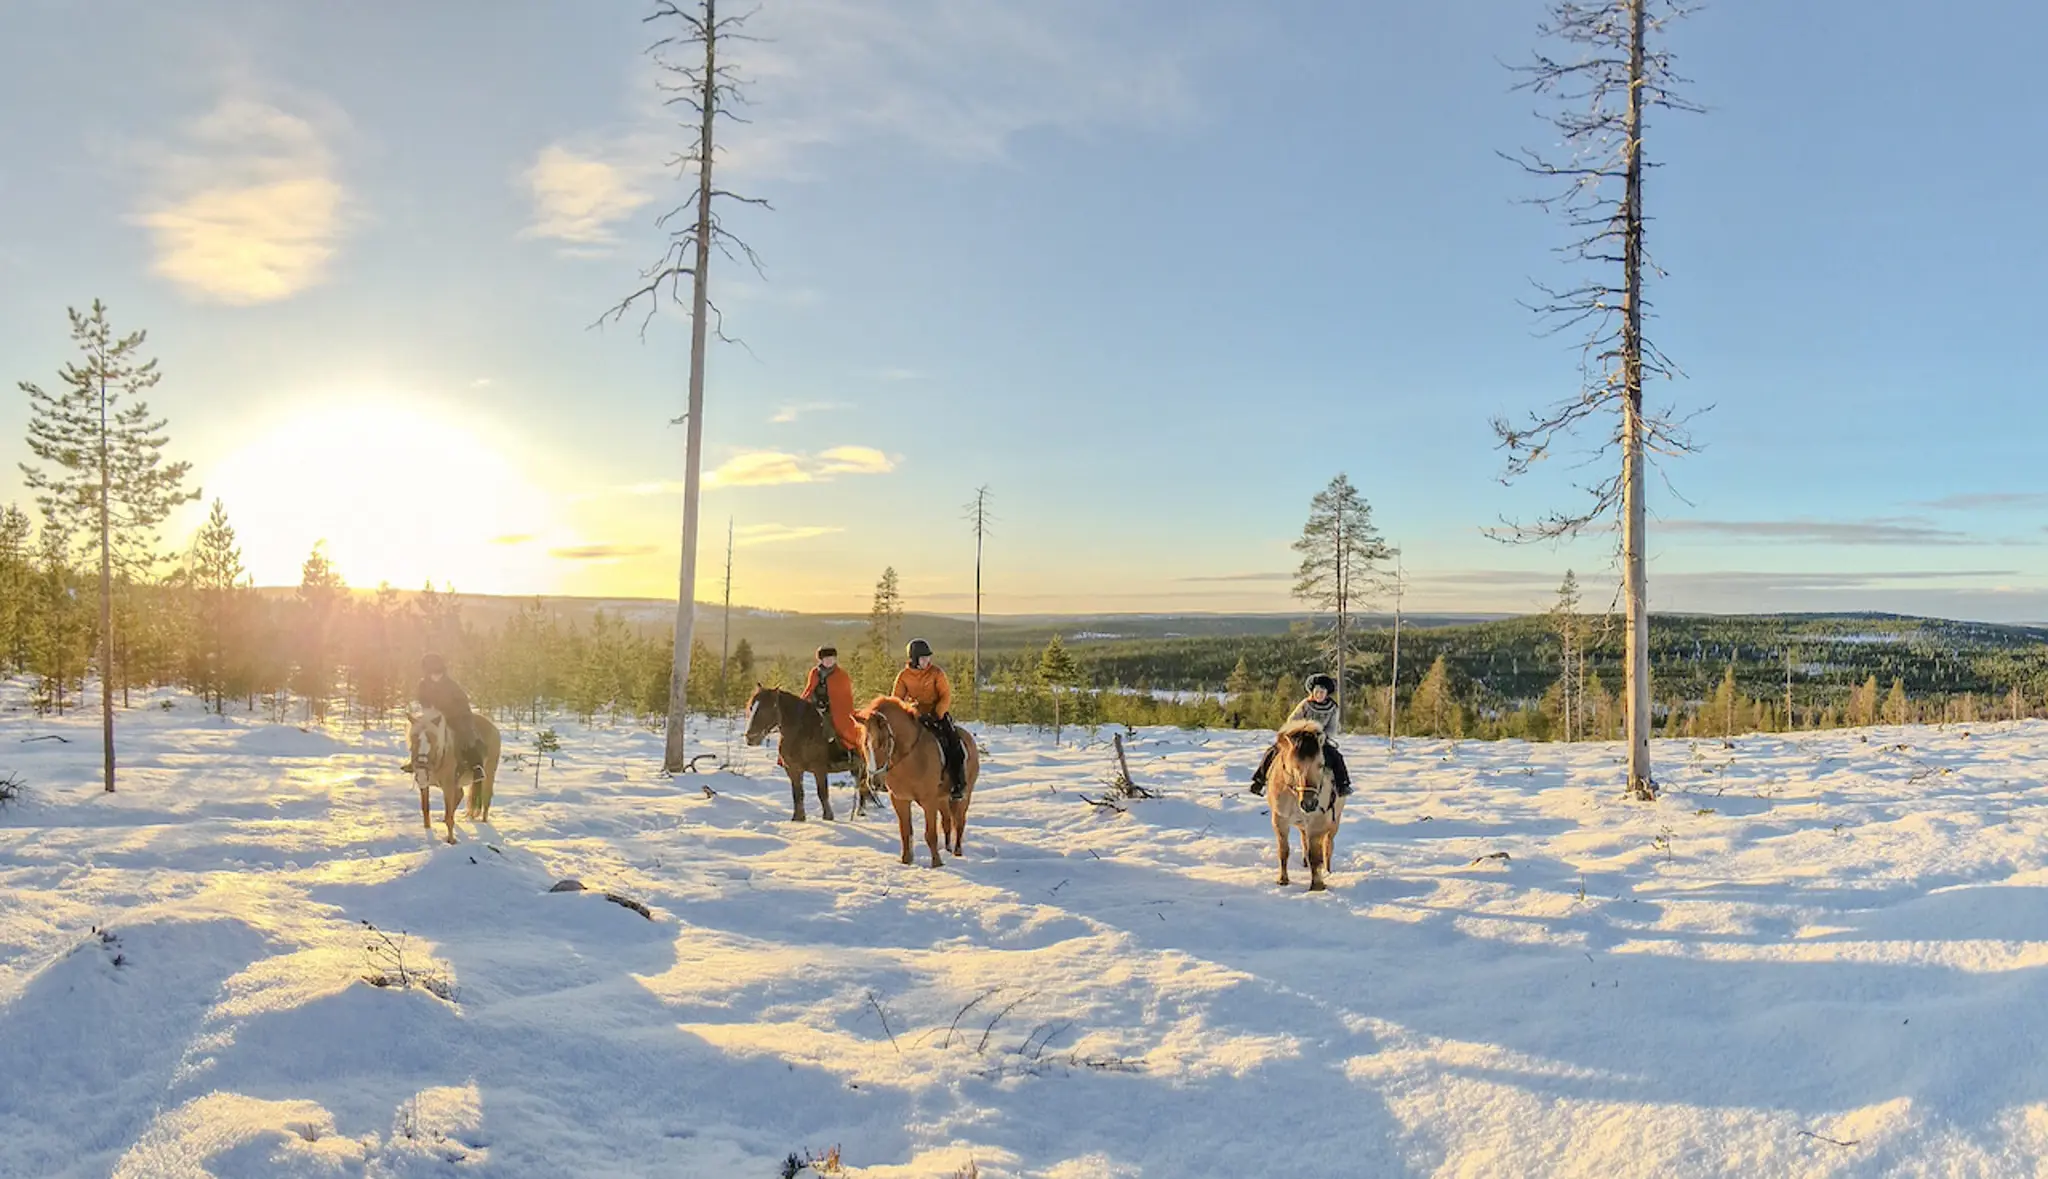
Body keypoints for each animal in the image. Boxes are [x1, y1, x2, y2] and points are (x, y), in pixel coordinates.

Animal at [406, 705, 502, 843]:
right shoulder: (424, 784)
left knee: (486, 798)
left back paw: (484, 824)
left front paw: (451, 841)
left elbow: (449, 817)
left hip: (489, 774)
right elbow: (426, 808)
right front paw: (427, 829)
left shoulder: (448, 787)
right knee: (460, 795)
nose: (421, 767)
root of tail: (492, 726)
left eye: (433, 741)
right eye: (413, 740)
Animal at [743, 685, 878, 822]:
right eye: (751, 707)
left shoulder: (819, 769)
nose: (750, 738)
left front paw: (828, 817)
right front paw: (798, 818)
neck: (801, 731)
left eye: (767, 708)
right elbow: (797, 793)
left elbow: (822, 792)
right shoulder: (793, 769)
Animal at [856, 697, 980, 868]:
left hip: (963, 796)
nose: (875, 782)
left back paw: (957, 853)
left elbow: (930, 834)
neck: (911, 758)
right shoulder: (900, 800)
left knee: (959, 822)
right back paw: (948, 850)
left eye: (883, 742)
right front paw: (906, 861)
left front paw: (937, 863)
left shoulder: (929, 801)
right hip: (942, 798)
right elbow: (905, 831)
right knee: (947, 822)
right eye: (864, 744)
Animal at [1267, 717, 1344, 891]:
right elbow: (1284, 850)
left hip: (1334, 822)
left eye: (1321, 765)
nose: (1309, 804)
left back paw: (1328, 870)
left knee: (1328, 845)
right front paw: (1283, 880)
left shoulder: (1318, 822)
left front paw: (1317, 885)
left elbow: (1315, 855)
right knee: (1304, 840)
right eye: (1295, 766)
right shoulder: (1279, 819)